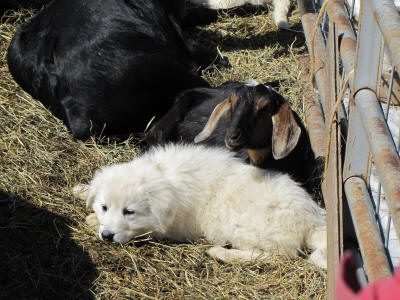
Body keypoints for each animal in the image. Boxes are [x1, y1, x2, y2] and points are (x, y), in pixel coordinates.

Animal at [73, 143, 326, 268]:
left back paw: (221, 253)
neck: (164, 176)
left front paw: (91, 219)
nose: (106, 236)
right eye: (105, 207)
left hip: (248, 229)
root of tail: (312, 219)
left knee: (277, 256)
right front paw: (82, 190)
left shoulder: (171, 226)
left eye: (129, 212)